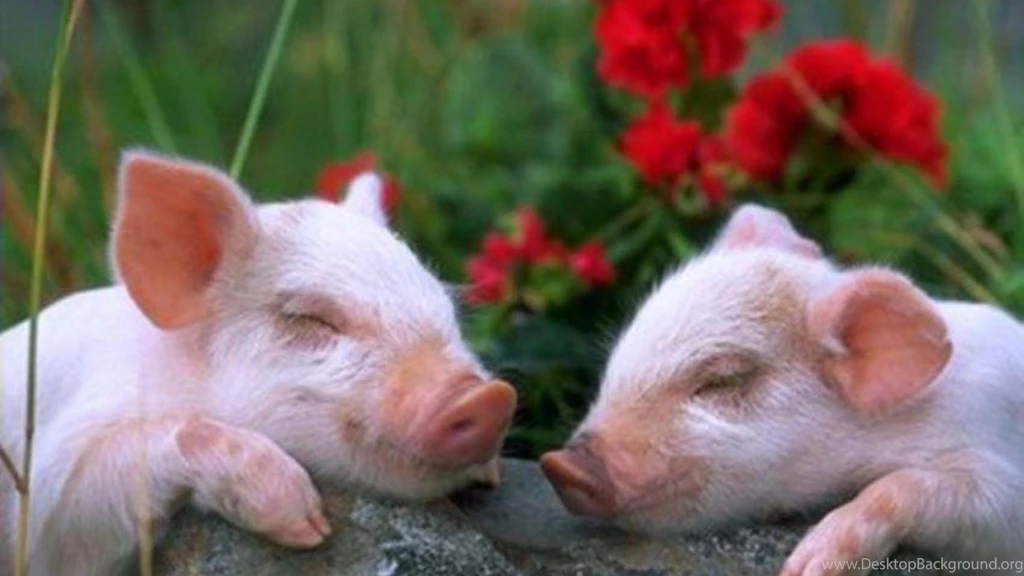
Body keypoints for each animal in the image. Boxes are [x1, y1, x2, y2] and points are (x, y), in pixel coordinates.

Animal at [0, 151, 517, 576]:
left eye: (445, 309)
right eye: (311, 318)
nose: (490, 396)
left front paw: (491, 474)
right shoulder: (47, 496)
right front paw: (309, 528)